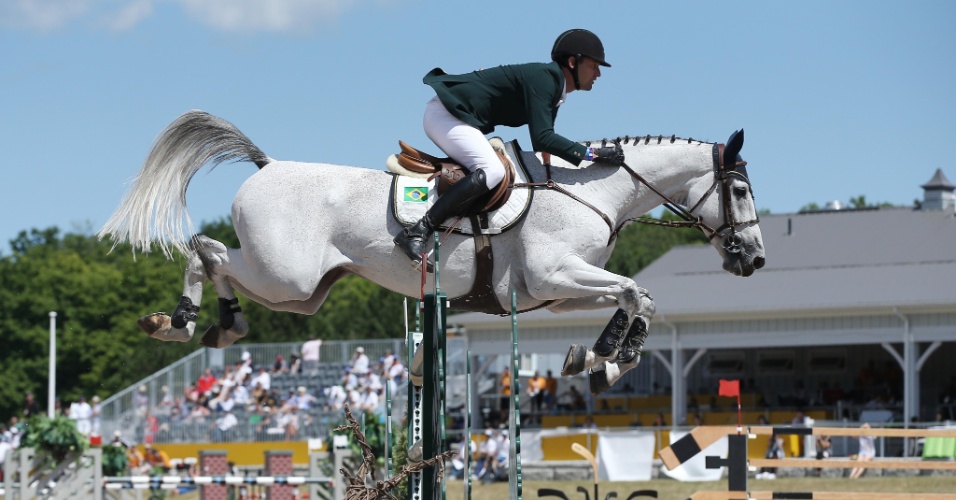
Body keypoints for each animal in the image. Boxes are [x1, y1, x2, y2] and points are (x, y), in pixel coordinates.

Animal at [101, 110, 764, 394]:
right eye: (738, 191)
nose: (753, 259)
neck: (592, 190)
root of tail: (267, 166)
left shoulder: (553, 294)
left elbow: (638, 294)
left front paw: (599, 358)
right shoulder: (556, 274)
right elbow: (633, 291)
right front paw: (607, 358)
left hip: (302, 294)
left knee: (217, 259)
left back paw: (221, 324)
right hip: (284, 275)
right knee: (204, 249)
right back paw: (185, 322)